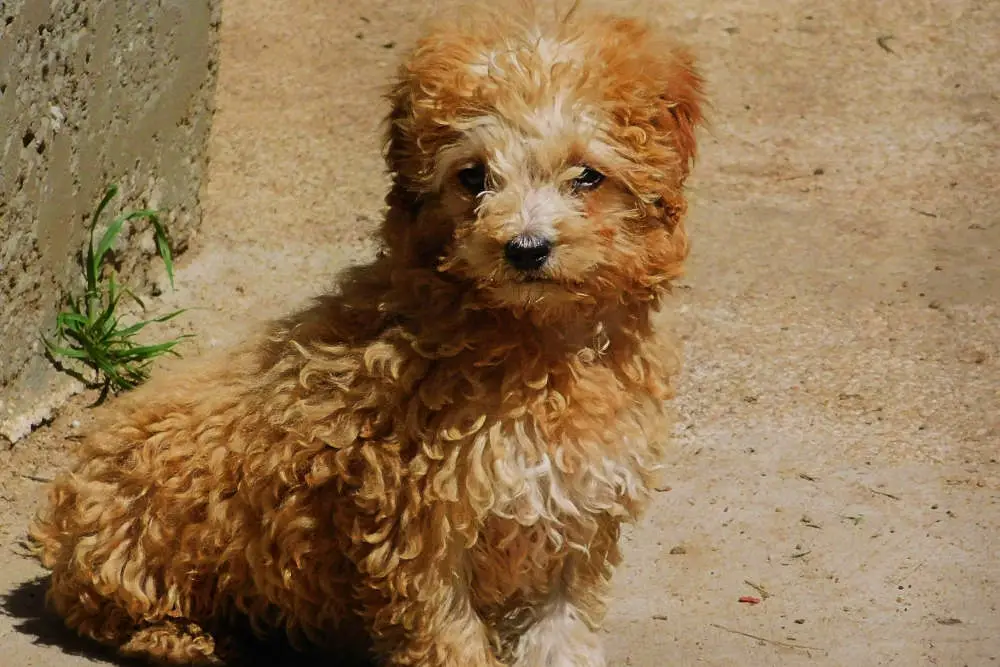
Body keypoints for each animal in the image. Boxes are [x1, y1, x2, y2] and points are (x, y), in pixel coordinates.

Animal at [31, 6, 704, 667]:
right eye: (473, 176)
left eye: (588, 176)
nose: (526, 247)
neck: (540, 352)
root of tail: (63, 510)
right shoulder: (424, 533)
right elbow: (450, 640)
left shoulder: (576, 523)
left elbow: (560, 636)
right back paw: (192, 640)